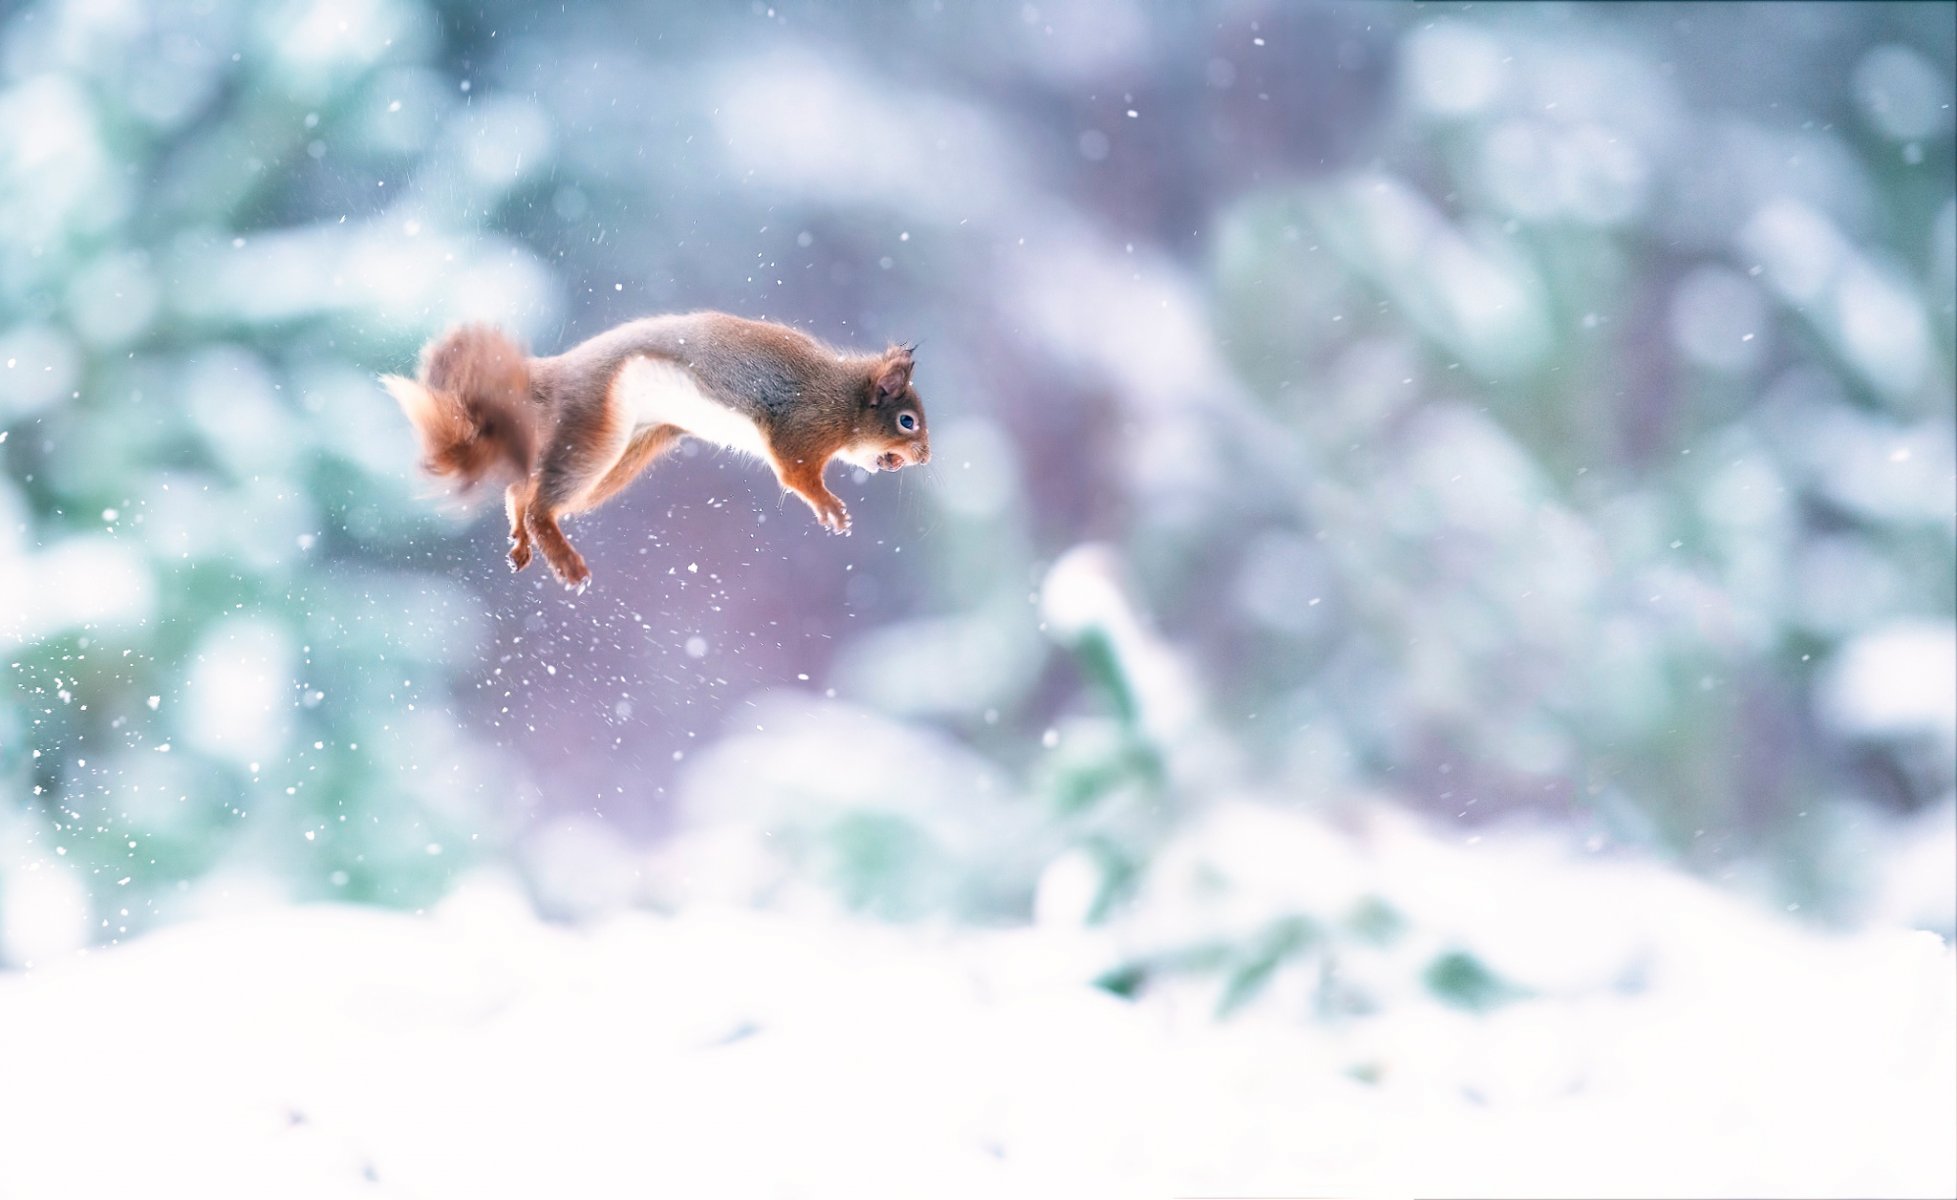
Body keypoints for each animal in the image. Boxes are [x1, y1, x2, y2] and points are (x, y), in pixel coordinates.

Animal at [381, 312, 930, 591]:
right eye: (907, 421)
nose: (926, 457)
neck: (844, 399)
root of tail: (555, 373)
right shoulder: (800, 431)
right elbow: (797, 478)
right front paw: (831, 508)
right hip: (597, 434)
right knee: (540, 504)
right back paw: (563, 560)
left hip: (628, 452)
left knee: (524, 488)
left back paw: (520, 538)